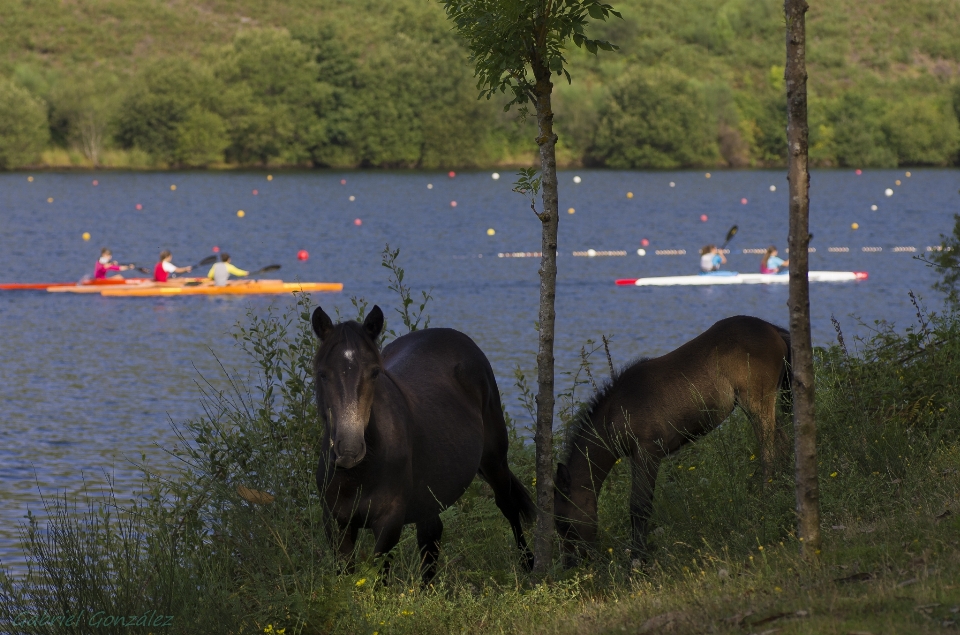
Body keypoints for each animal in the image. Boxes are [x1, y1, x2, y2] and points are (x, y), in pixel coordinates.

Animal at [312, 306, 532, 580]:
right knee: (431, 535)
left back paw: (528, 565)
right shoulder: (335, 524)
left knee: (507, 505)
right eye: (322, 373)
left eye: (374, 372)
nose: (349, 450)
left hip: (494, 461)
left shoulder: (388, 523)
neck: (359, 473)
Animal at [552, 316, 792, 568]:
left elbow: (639, 506)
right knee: (783, 442)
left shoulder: (648, 452)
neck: (616, 412)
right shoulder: (637, 457)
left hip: (757, 402)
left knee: (769, 450)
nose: (569, 563)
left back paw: (767, 499)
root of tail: (773, 329)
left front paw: (638, 559)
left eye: (562, 522)